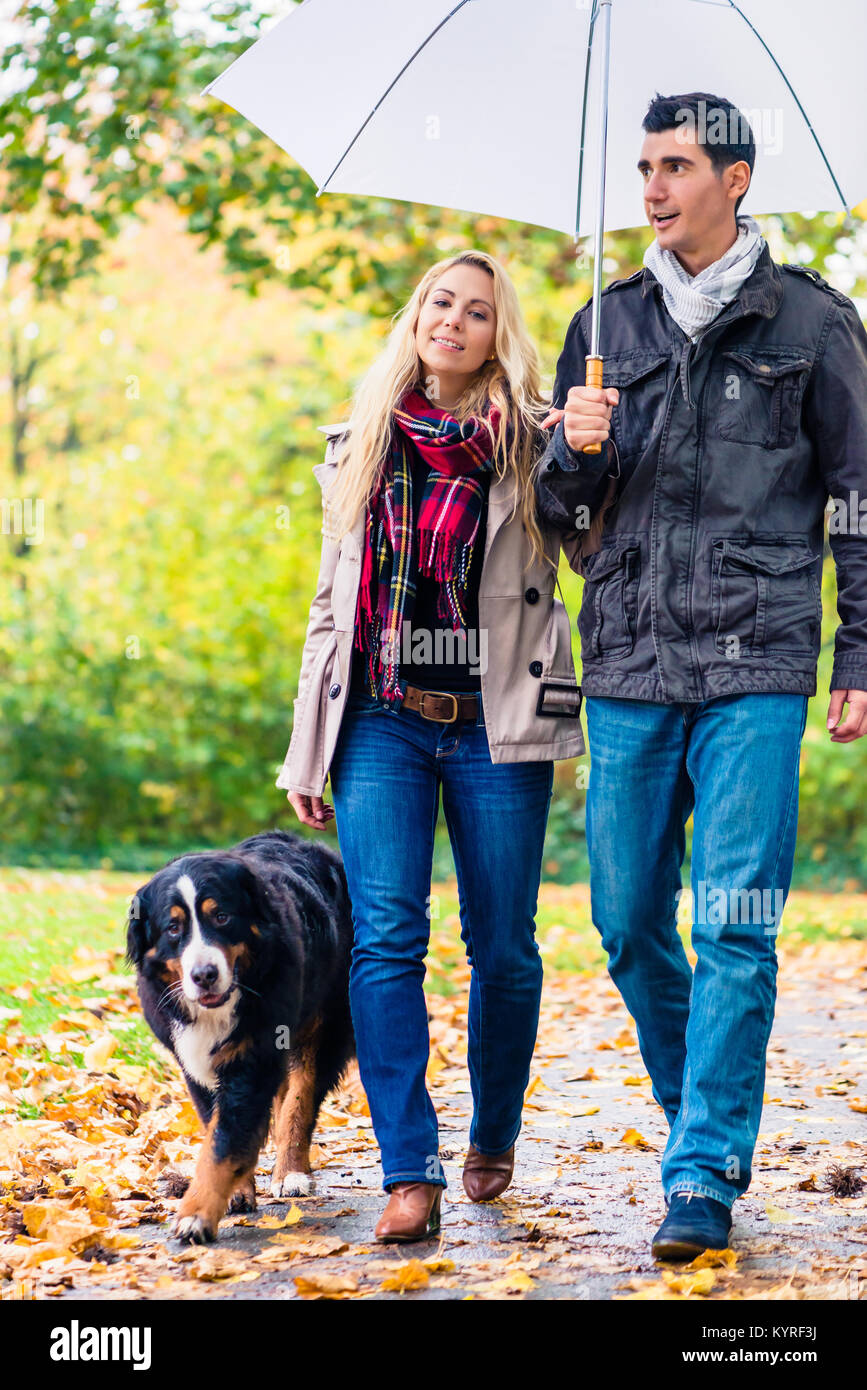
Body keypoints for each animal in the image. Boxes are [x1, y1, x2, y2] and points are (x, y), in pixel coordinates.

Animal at [125, 828, 355, 1245]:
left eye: (222, 917)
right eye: (173, 928)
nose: (204, 975)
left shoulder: (254, 1056)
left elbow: (225, 1140)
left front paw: (196, 1214)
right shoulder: (195, 1063)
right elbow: (219, 1127)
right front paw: (237, 1191)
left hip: (325, 1024)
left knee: (300, 1100)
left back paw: (291, 1172)